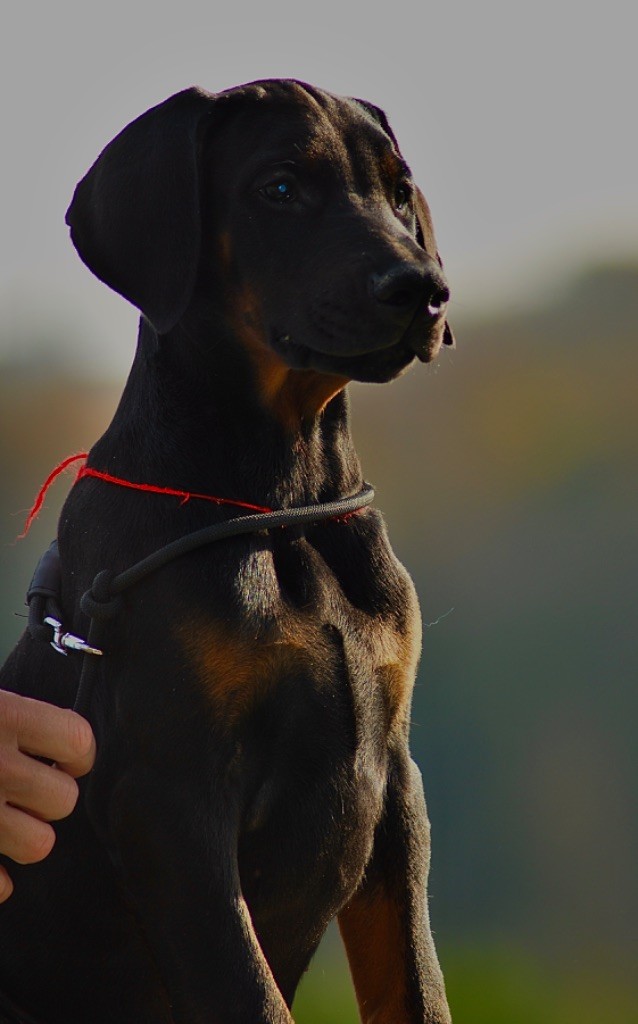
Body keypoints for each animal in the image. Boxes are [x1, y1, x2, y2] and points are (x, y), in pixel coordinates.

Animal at [0, 81, 454, 1024]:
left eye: (400, 192)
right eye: (279, 188)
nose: (425, 289)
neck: (285, 507)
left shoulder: (397, 787)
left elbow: (416, 983)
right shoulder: (168, 799)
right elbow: (248, 989)